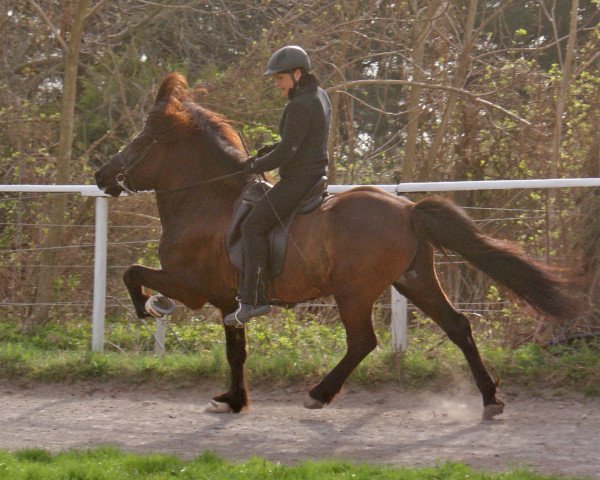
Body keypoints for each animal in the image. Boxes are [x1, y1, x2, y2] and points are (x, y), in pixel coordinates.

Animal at [95, 72, 572, 420]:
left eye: (141, 141)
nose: (102, 176)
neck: (206, 200)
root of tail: (407, 209)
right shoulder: (227, 300)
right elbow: (236, 351)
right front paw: (232, 400)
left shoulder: (192, 287)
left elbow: (132, 273)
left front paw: (149, 307)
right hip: (414, 280)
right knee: (458, 326)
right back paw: (490, 400)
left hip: (354, 292)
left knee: (362, 341)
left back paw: (319, 394)